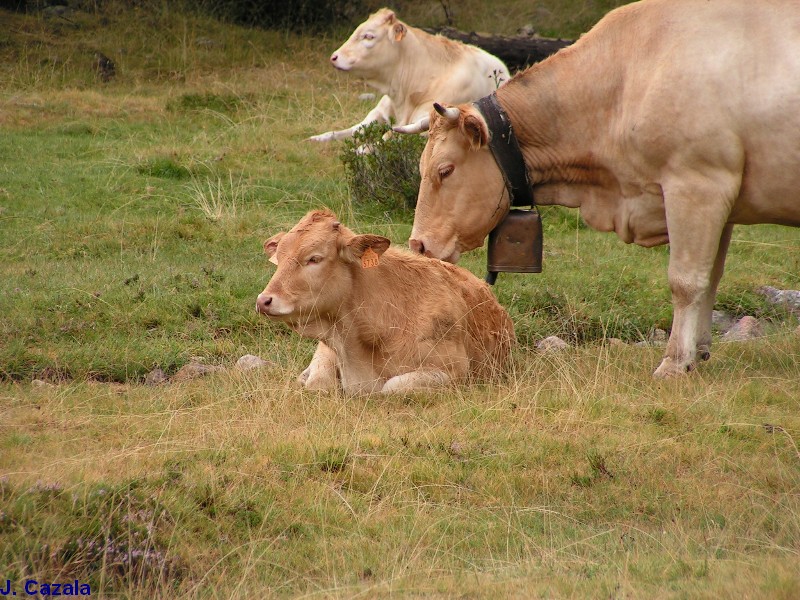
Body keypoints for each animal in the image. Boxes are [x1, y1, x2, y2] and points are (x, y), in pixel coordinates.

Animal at [260, 209, 516, 396]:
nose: (264, 301)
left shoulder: (454, 372)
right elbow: (319, 384)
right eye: (279, 259)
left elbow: (390, 387)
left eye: (314, 258)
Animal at [310, 7, 510, 143]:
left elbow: (380, 141)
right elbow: (341, 132)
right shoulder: (378, 116)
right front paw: (314, 140)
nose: (334, 57)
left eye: (369, 36)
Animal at [398, 0, 800, 378]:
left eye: (445, 170)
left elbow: (686, 281)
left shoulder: (697, 185)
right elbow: (711, 279)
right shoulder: (721, 205)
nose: (418, 245)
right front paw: (698, 351)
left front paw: (674, 362)